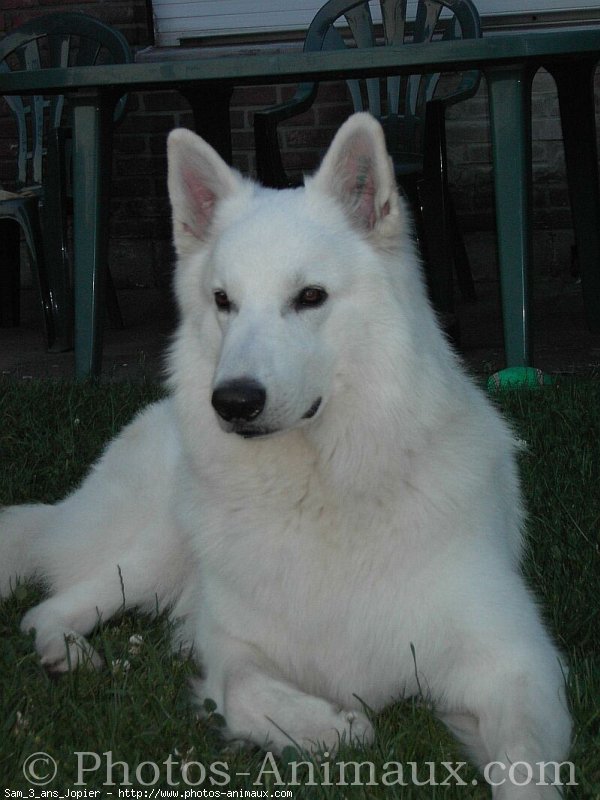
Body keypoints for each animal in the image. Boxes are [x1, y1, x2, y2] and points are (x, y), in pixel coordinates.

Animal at [1, 112, 572, 792]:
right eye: (223, 301)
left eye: (310, 297)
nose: (232, 402)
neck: (320, 492)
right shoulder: (228, 645)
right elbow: (245, 688)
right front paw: (332, 726)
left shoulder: (516, 662)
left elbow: (525, 766)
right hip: (156, 552)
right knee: (49, 608)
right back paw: (66, 652)